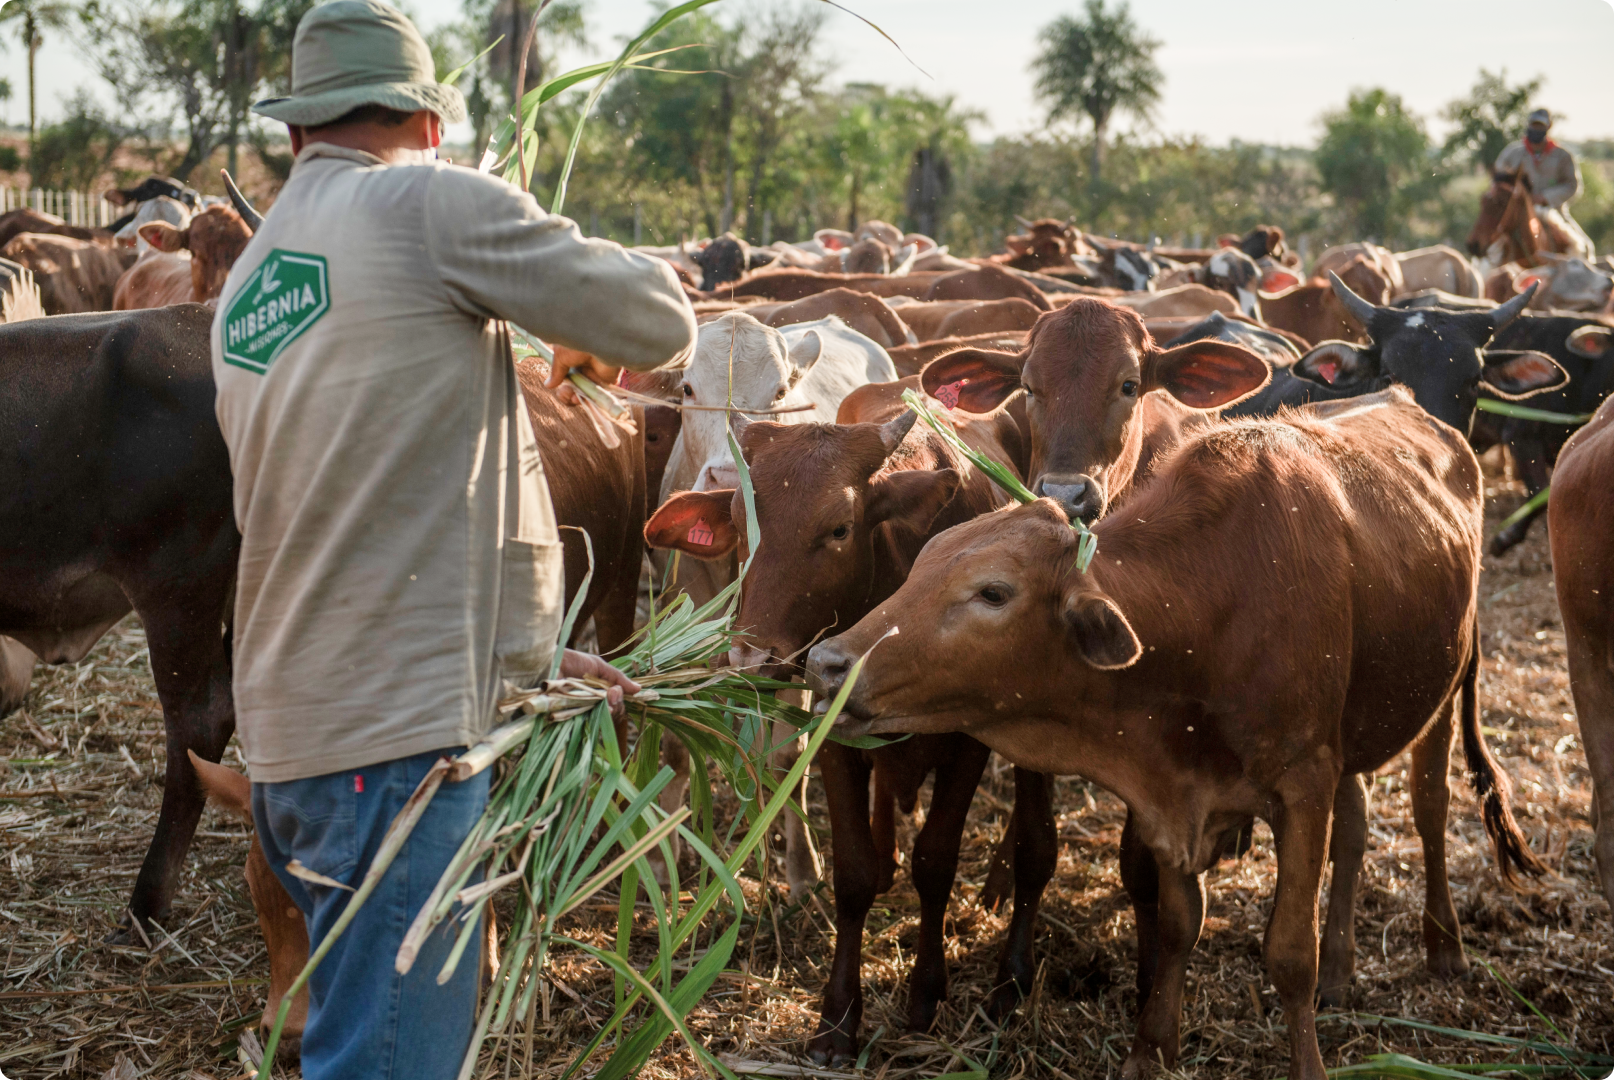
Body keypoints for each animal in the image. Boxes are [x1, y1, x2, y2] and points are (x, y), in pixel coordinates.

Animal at [813, 387, 1542, 1078]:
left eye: (992, 592)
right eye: (921, 565)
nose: (827, 663)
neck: (1210, 606)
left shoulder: (1304, 784)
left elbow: (1289, 952)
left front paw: (1306, 1064)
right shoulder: (1168, 789)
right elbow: (1174, 926)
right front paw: (1152, 1046)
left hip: (1441, 693)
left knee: (1430, 809)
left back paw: (1444, 946)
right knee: (1357, 827)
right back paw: (1340, 973)